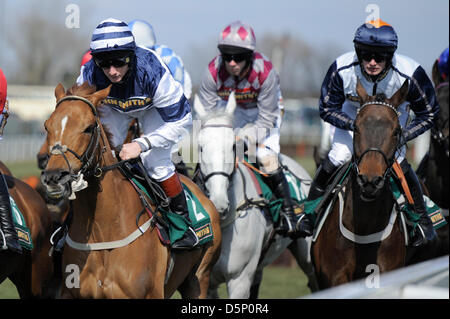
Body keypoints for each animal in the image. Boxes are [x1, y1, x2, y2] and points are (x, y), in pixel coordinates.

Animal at [40, 83, 221, 300]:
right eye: (47, 126)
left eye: (88, 127)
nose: (54, 176)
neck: (102, 232)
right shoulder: (71, 293)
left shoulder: (151, 293)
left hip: (199, 278)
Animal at [192, 94, 316, 298]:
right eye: (200, 147)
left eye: (233, 146)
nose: (219, 203)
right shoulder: (207, 282)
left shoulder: (240, 280)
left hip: (306, 254)